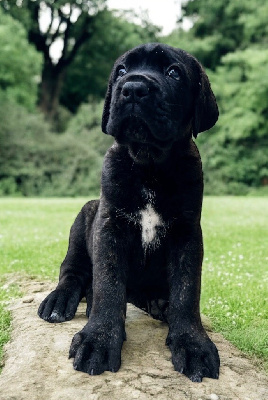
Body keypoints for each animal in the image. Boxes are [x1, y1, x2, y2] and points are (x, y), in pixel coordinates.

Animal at [38, 42, 221, 382]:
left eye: (173, 72)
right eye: (121, 71)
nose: (133, 88)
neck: (149, 165)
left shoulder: (187, 233)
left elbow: (187, 290)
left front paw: (192, 343)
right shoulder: (110, 226)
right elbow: (109, 285)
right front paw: (98, 338)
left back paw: (158, 303)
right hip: (84, 219)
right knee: (72, 272)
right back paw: (60, 300)